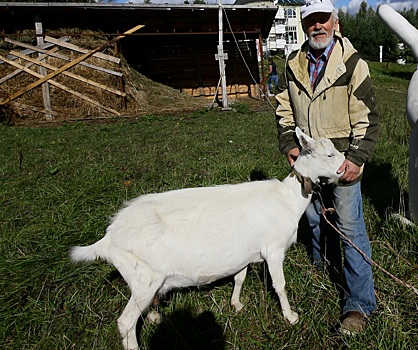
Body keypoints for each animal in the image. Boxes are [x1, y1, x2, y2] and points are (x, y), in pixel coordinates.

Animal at [70, 128, 344, 350]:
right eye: (329, 155)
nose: (345, 168)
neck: (287, 199)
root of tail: (109, 238)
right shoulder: (274, 249)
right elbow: (280, 285)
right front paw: (291, 316)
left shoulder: (244, 253)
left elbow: (239, 277)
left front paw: (236, 304)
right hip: (143, 278)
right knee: (125, 322)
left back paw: (155, 317)